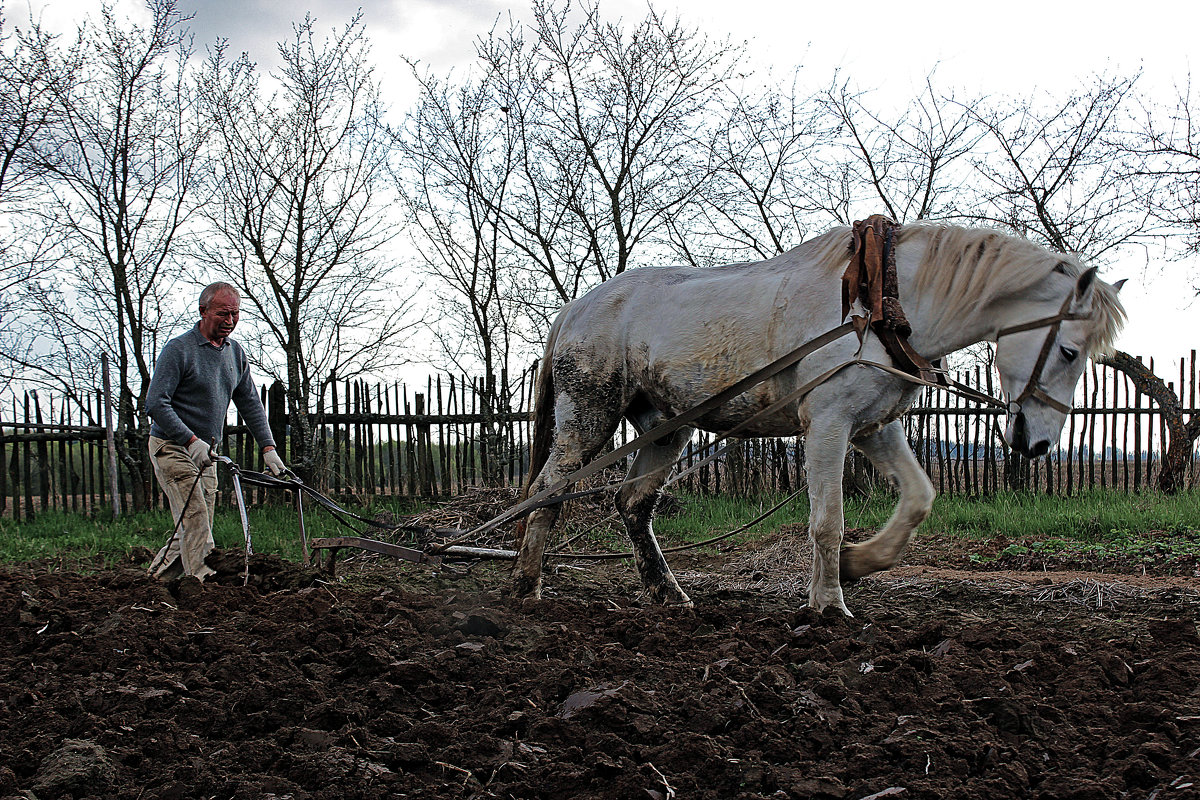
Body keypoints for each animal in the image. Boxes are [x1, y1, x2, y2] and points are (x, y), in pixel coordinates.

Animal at [513, 220, 1123, 614]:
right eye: (1070, 351)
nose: (1039, 445)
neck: (879, 308)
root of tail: (575, 309)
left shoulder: (873, 426)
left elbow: (918, 498)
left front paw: (860, 563)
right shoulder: (828, 424)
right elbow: (827, 520)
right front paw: (829, 603)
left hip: (668, 426)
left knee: (634, 504)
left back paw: (668, 594)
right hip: (589, 415)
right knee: (546, 491)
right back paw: (526, 585)